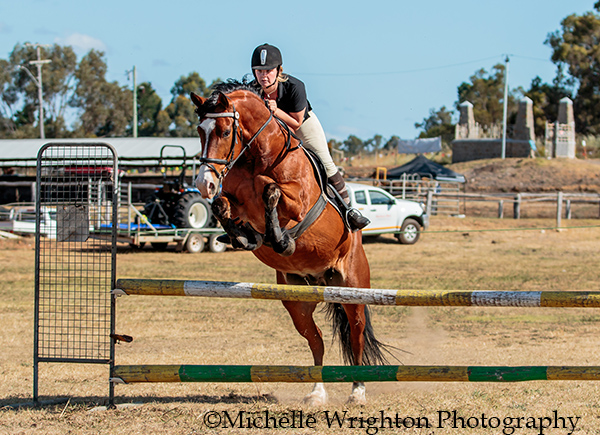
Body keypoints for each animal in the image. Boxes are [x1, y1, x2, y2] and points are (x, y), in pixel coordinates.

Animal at [193, 81, 390, 406]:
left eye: (224, 131)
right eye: (200, 130)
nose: (203, 184)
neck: (256, 157)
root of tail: (322, 278)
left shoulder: (297, 202)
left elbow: (270, 190)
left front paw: (281, 240)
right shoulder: (234, 201)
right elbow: (223, 206)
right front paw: (244, 237)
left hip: (353, 288)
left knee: (357, 334)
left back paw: (358, 391)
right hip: (298, 302)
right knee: (316, 341)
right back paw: (317, 392)